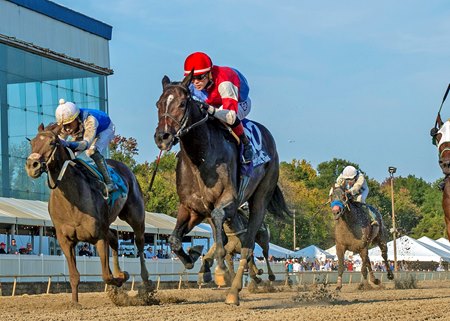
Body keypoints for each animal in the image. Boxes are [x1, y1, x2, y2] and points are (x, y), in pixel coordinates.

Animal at [25, 122, 149, 302]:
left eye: (52, 142)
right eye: (32, 143)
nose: (31, 165)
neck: (72, 202)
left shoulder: (99, 237)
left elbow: (106, 276)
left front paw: (121, 277)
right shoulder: (66, 241)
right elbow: (75, 275)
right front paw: (75, 303)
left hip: (135, 216)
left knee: (139, 244)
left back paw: (146, 284)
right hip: (107, 224)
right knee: (115, 237)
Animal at [153, 73, 290, 304]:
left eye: (182, 104)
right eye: (158, 103)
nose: (162, 137)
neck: (200, 157)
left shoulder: (229, 200)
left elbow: (221, 232)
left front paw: (219, 269)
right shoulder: (192, 208)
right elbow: (174, 239)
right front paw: (193, 258)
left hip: (261, 198)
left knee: (248, 247)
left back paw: (236, 290)